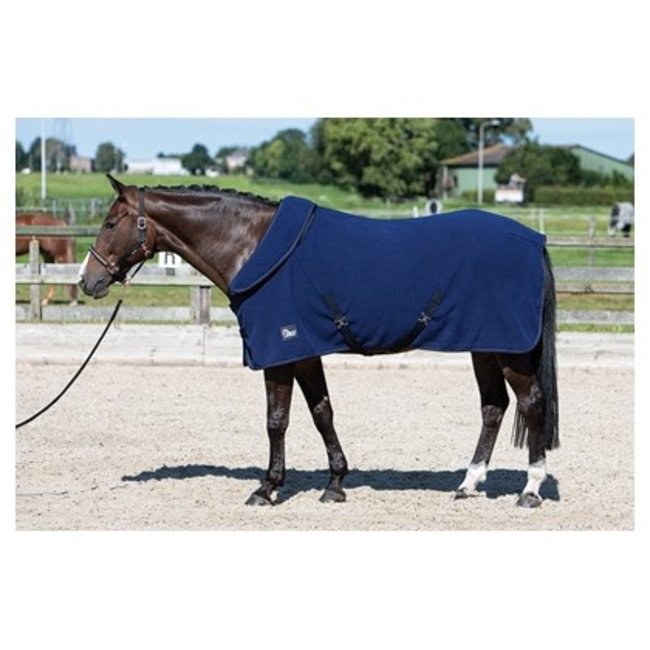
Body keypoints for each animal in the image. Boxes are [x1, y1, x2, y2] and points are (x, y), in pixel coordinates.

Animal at [79, 173, 559, 509]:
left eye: (110, 222)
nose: (88, 280)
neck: (252, 246)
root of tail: (534, 239)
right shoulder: (305, 352)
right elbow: (321, 413)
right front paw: (335, 484)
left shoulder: (280, 352)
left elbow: (277, 420)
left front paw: (267, 489)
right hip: (486, 345)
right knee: (494, 406)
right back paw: (468, 484)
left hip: (510, 350)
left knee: (532, 402)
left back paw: (530, 489)